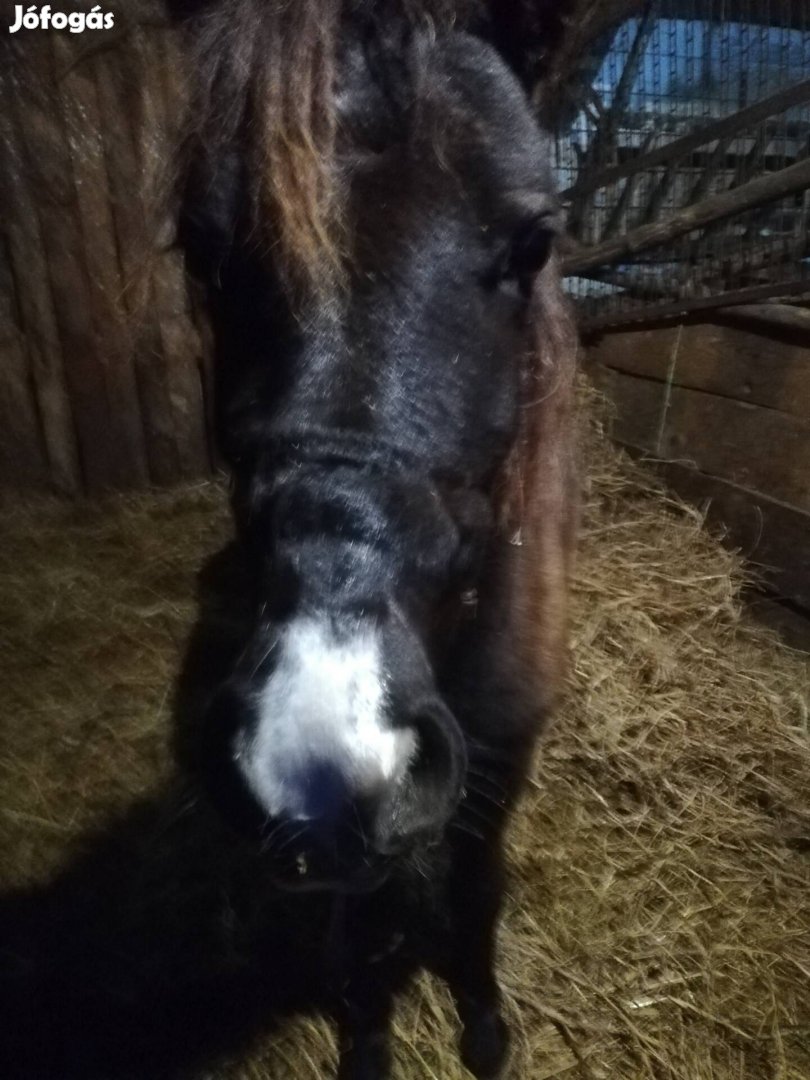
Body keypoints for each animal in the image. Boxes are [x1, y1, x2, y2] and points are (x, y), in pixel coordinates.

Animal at [177, 4, 578, 1075]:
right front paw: (365, 1038)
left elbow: (477, 891)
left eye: (534, 242)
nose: (319, 749)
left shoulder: (500, 763)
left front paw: (483, 1025)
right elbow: (357, 925)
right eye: (203, 252)